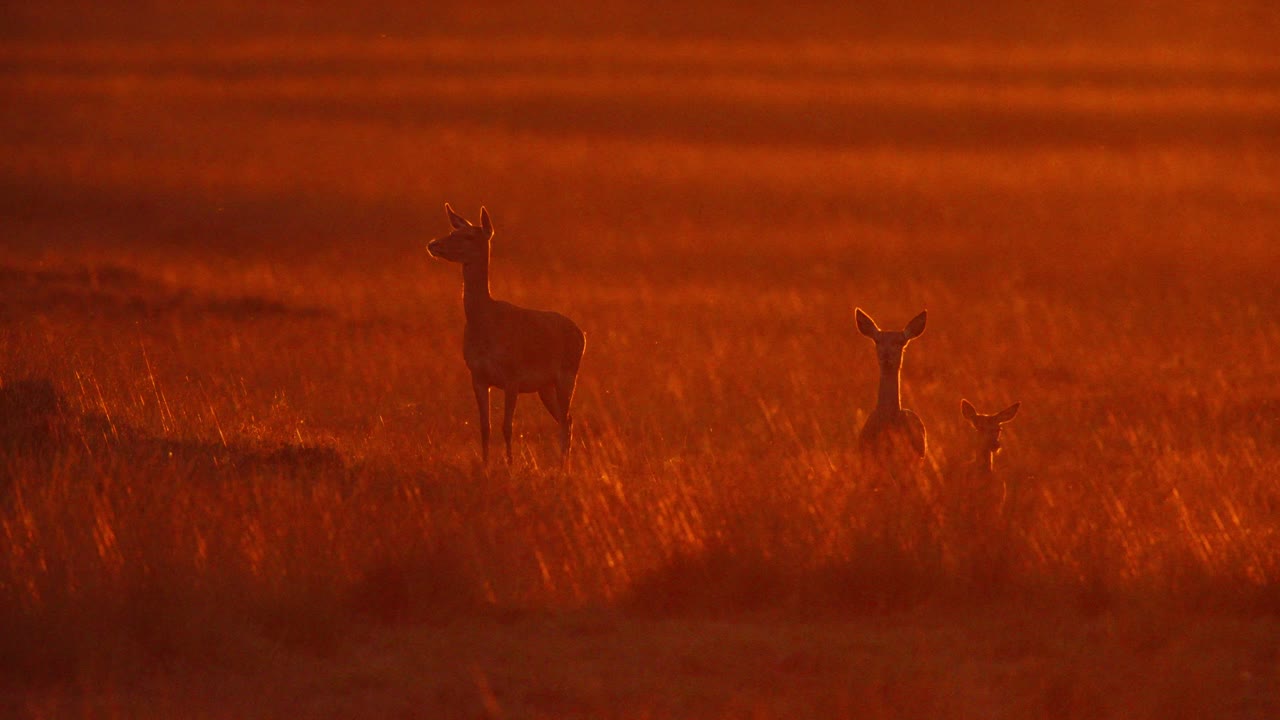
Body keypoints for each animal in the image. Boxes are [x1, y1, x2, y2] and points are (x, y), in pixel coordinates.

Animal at [427, 204, 585, 466]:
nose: (433, 244)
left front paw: (510, 465)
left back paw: (564, 467)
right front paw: (485, 466)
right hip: (545, 387)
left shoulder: (512, 377)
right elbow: (485, 427)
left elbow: (507, 427)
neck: (486, 325)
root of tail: (582, 334)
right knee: (568, 419)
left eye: (469, 236)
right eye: (452, 232)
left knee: (566, 420)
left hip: (568, 376)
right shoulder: (478, 377)